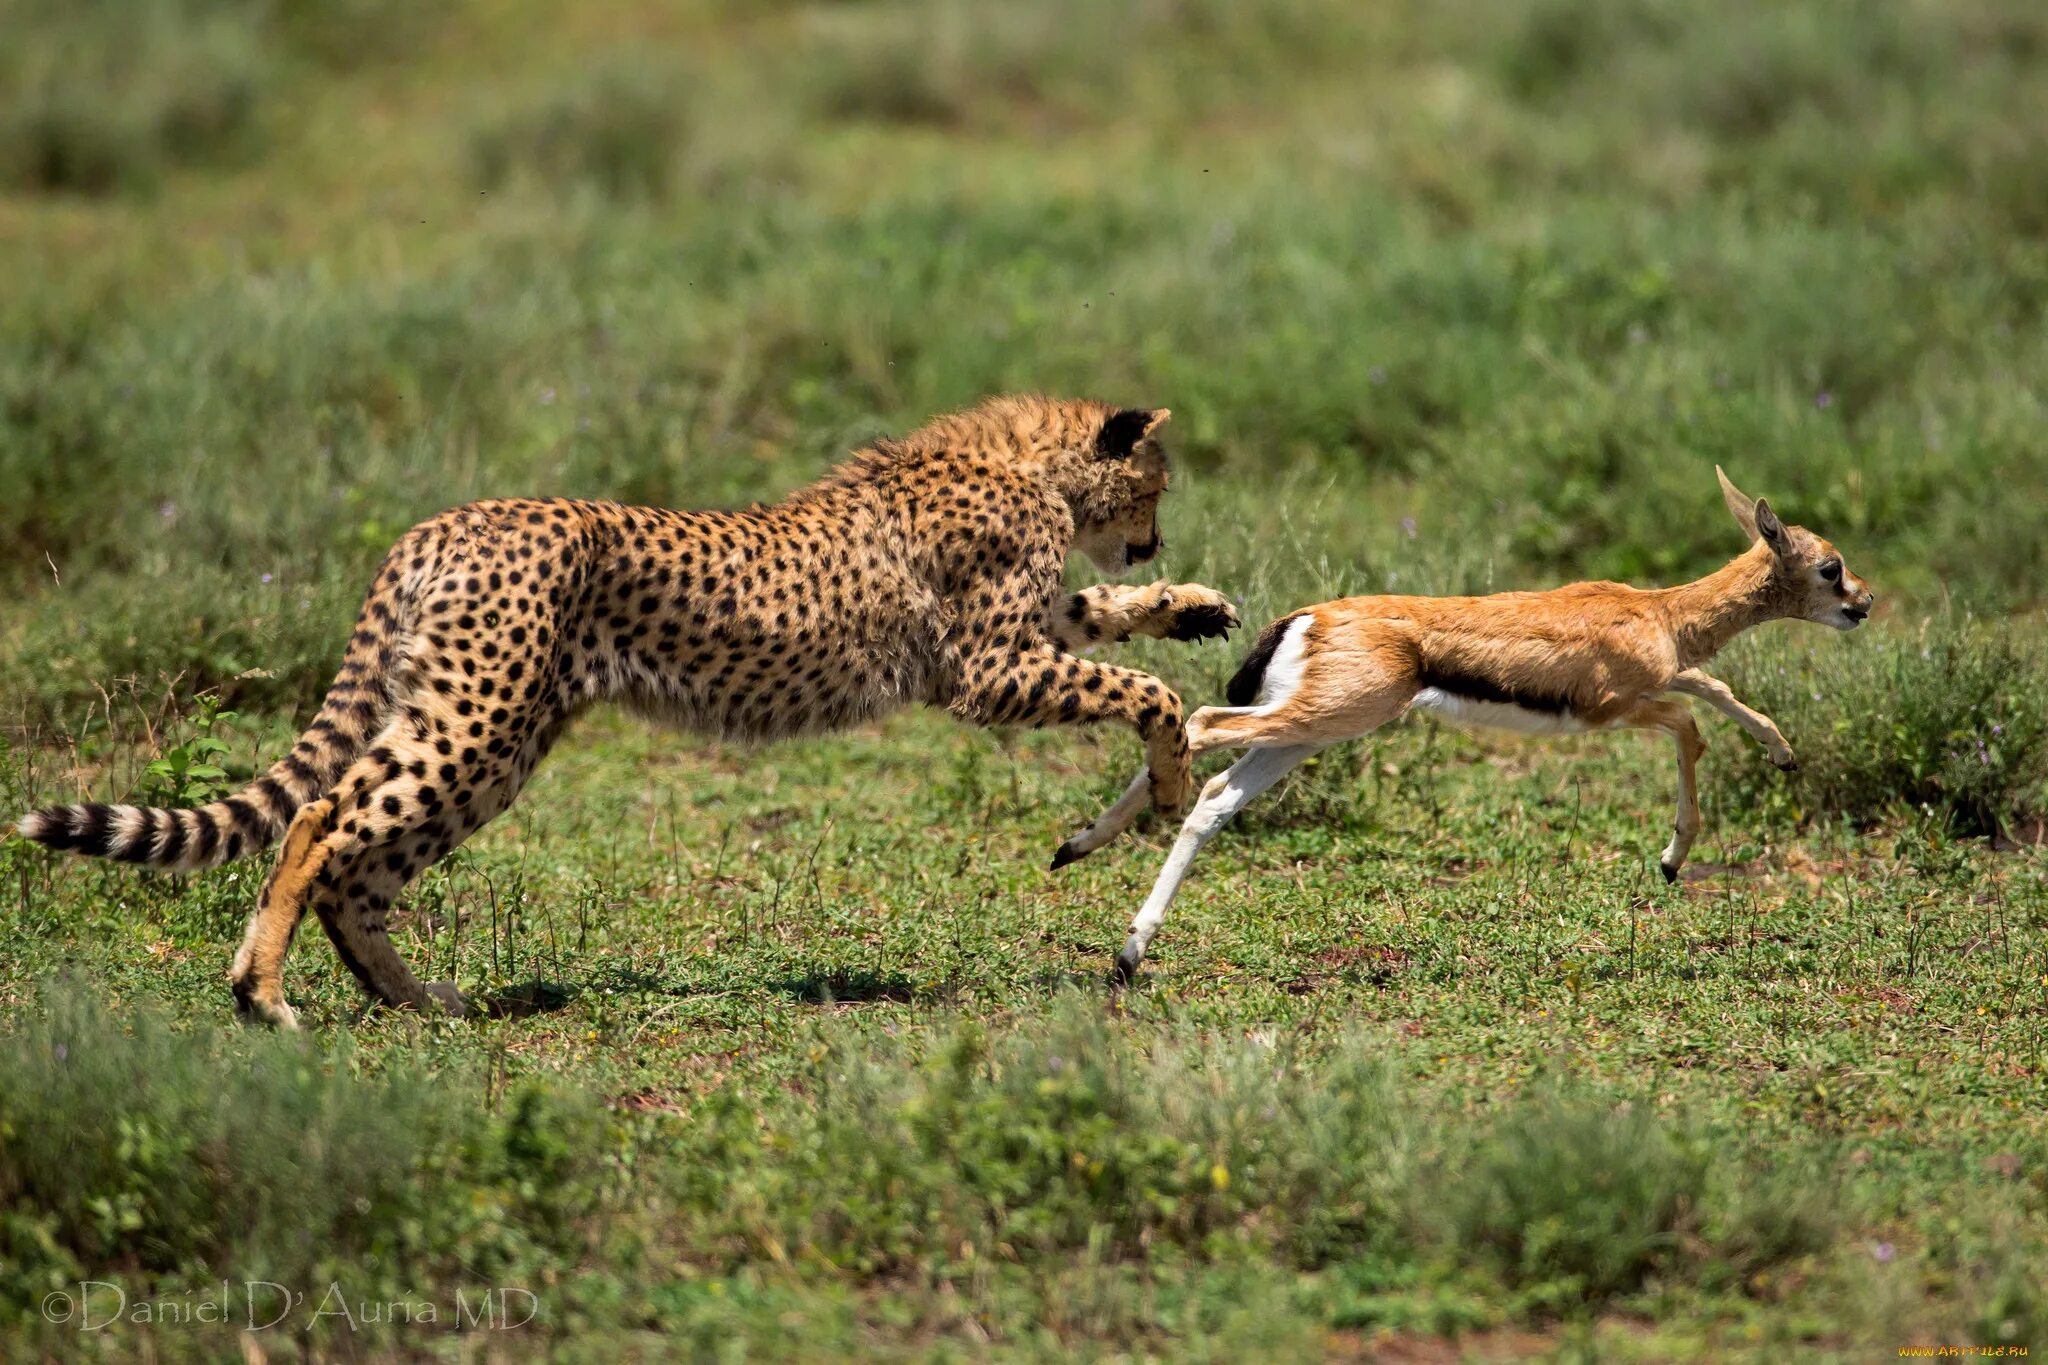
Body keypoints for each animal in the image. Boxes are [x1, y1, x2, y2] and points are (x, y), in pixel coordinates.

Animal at [16, 394, 1236, 1023]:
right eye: (1156, 483)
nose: (1156, 537)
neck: (1025, 463)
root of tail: (445, 520)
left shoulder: (1010, 641)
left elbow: (1101, 618)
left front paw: (1187, 606)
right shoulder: (983, 670)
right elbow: (1144, 691)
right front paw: (1173, 773)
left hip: (492, 738)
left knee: (360, 868)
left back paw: (417, 1000)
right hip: (477, 723)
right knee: (322, 822)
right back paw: (260, 994)